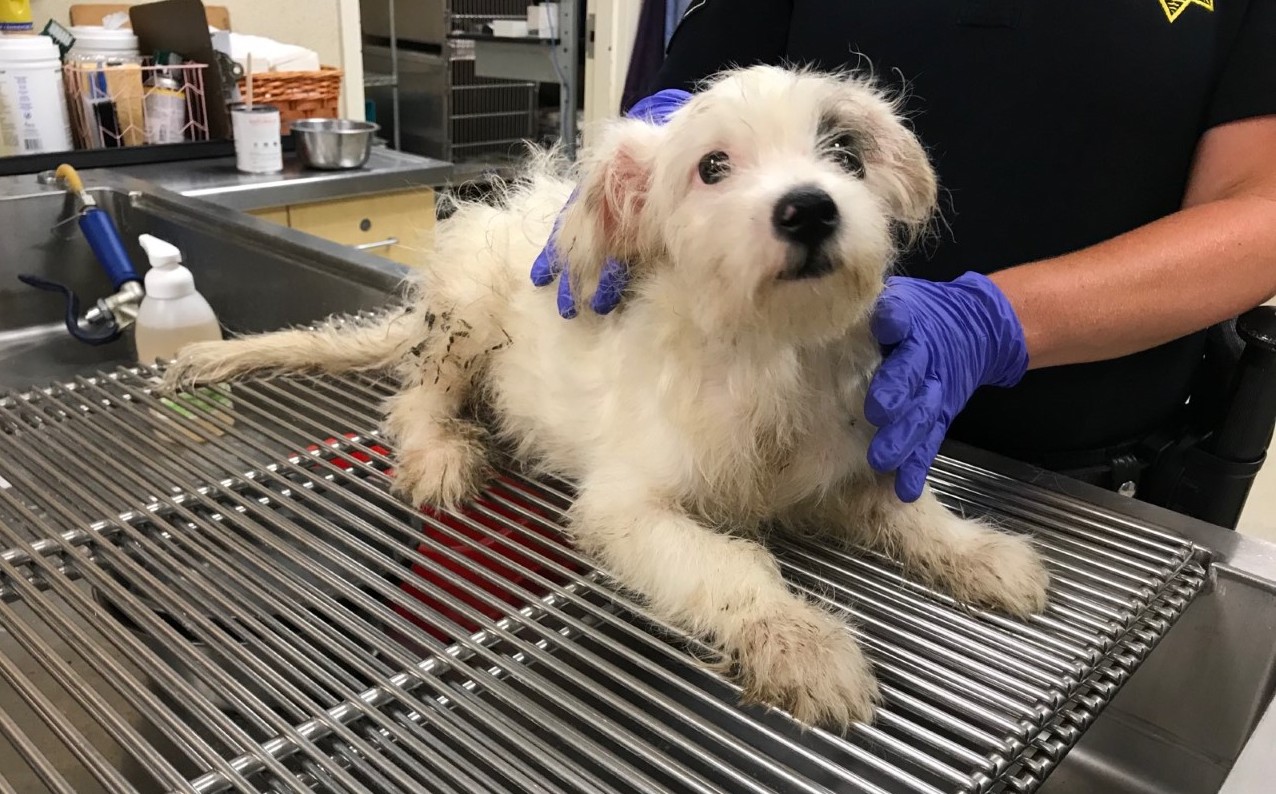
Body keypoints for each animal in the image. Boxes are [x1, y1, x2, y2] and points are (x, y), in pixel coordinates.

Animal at [164, 65, 1051, 730]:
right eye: (712, 167)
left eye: (843, 151)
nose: (810, 208)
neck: (766, 356)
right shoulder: (628, 508)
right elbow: (729, 563)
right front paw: (800, 641)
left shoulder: (846, 465)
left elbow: (910, 509)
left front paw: (981, 554)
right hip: (465, 324)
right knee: (415, 403)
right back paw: (443, 454)